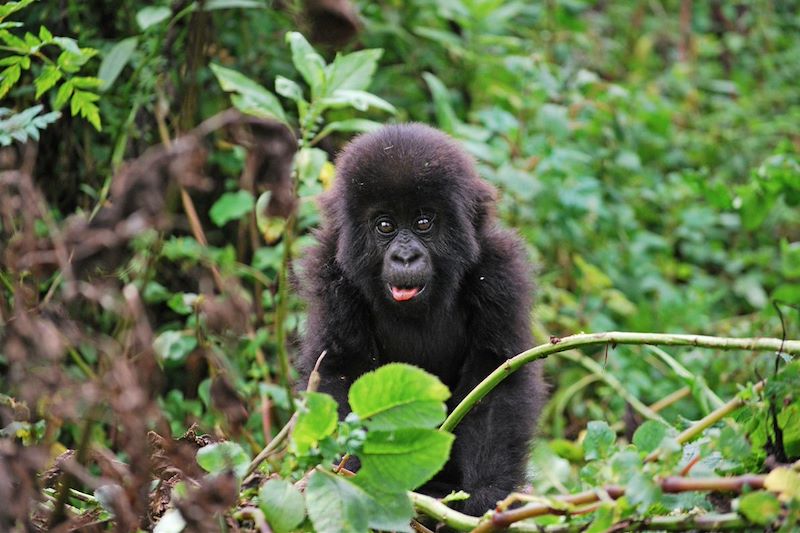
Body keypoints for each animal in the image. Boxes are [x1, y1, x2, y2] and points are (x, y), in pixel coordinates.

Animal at [296, 122, 548, 512]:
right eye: (385, 225)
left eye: (423, 222)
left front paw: (487, 495)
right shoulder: (330, 269)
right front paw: (353, 476)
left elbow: (495, 378)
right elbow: (340, 370)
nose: (405, 257)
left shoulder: (499, 267)